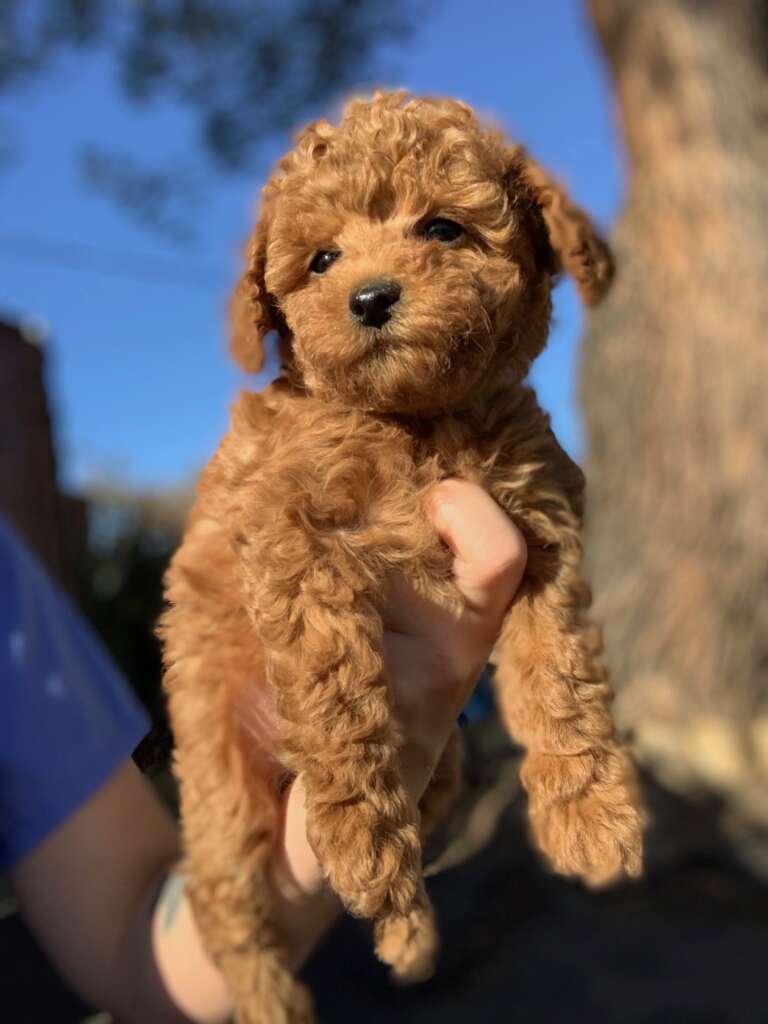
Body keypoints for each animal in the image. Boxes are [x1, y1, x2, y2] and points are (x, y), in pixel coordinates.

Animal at [160, 90, 643, 1024]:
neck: (417, 421)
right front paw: (358, 841)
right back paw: (283, 993)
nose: (372, 297)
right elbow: (337, 692)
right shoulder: (292, 538)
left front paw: (590, 818)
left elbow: (559, 675)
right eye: (322, 260)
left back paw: (410, 933)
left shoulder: (540, 528)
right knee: (222, 899)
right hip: (215, 775)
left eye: (444, 229)